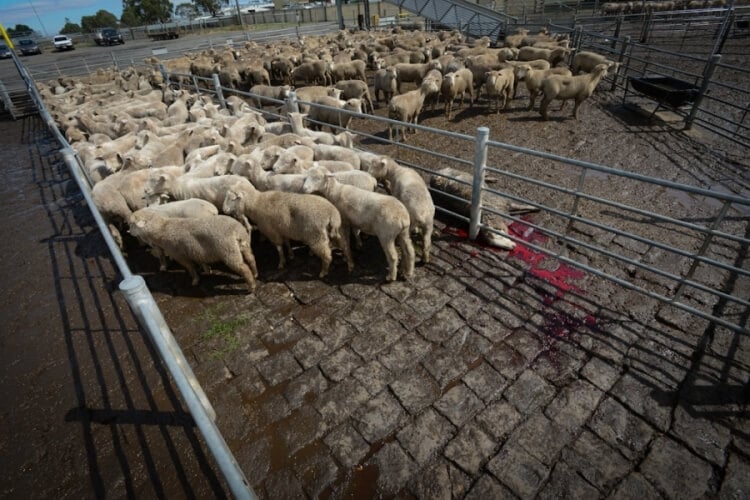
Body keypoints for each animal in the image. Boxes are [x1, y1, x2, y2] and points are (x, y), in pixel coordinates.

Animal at [129, 208, 258, 292]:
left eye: (132, 224)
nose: (128, 232)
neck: (163, 229)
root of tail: (236, 231)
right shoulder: (195, 251)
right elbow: (201, 262)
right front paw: (207, 270)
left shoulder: (179, 255)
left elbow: (190, 268)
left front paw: (195, 280)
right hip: (243, 246)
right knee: (251, 258)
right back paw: (255, 274)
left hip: (228, 251)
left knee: (243, 267)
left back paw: (251, 287)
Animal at [222, 184, 354, 278]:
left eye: (233, 199)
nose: (224, 210)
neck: (256, 203)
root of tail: (332, 215)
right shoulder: (282, 229)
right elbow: (287, 242)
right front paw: (291, 255)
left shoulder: (272, 232)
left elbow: (279, 248)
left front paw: (281, 263)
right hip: (339, 231)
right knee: (346, 247)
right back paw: (350, 265)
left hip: (316, 237)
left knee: (327, 256)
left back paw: (323, 272)